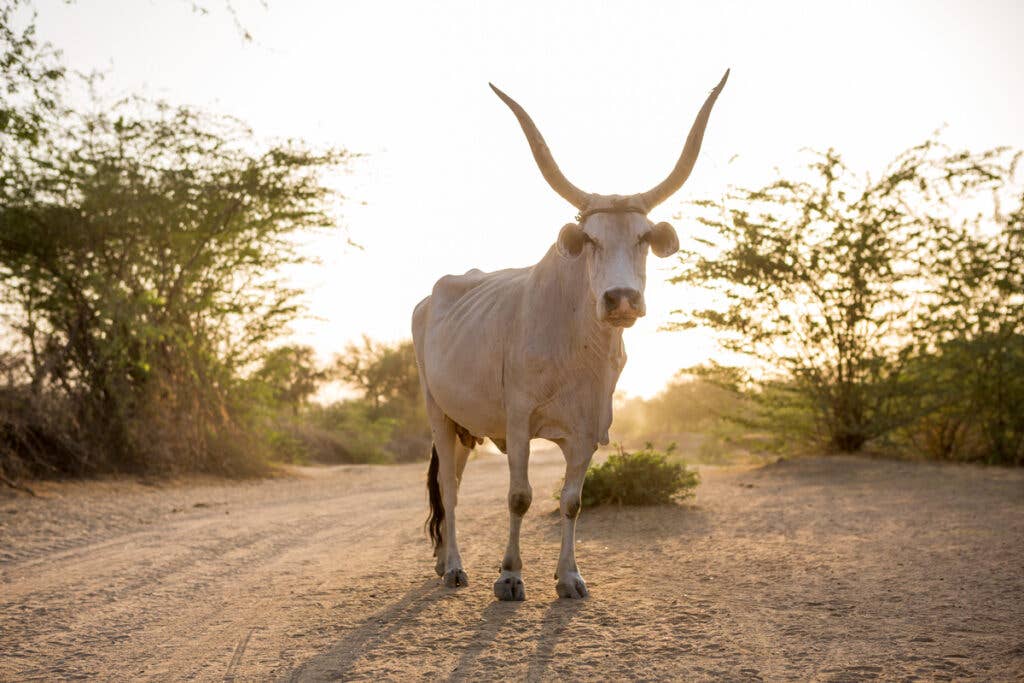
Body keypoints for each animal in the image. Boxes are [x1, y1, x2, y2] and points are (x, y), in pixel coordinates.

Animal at [413, 72, 729, 602]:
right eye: (593, 240)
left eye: (643, 238)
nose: (621, 298)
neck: (577, 350)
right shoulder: (519, 422)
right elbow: (519, 497)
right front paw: (510, 577)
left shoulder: (587, 430)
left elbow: (573, 501)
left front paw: (569, 577)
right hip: (438, 411)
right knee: (451, 492)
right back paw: (454, 567)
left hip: (464, 425)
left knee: (450, 479)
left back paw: (442, 562)